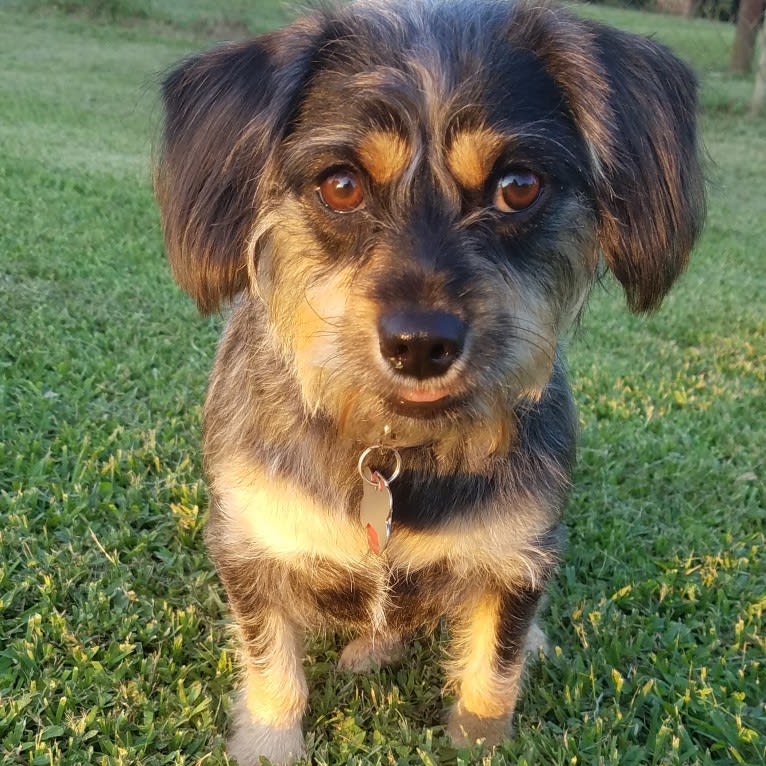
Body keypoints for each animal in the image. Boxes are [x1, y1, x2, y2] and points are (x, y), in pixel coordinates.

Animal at [153, 3, 704, 764]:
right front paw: (268, 742)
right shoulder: (252, 550)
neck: (397, 450)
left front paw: (479, 740)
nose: (421, 344)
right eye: (342, 185)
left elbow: (492, 672)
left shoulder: (515, 558)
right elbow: (273, 668)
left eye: (518, 186)